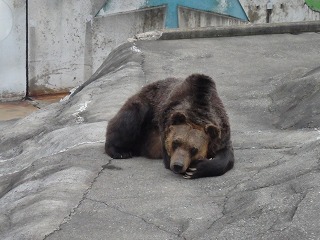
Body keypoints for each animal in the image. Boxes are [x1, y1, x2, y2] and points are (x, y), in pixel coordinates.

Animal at [106, 74, 234, 179]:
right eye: (175, 142)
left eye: (194, 149)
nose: (178, 165)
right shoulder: (164, 126)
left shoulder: (222, 133)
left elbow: (226, 155)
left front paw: (196, 169)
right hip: (145, 109)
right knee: (131, 117)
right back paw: (120, 152)